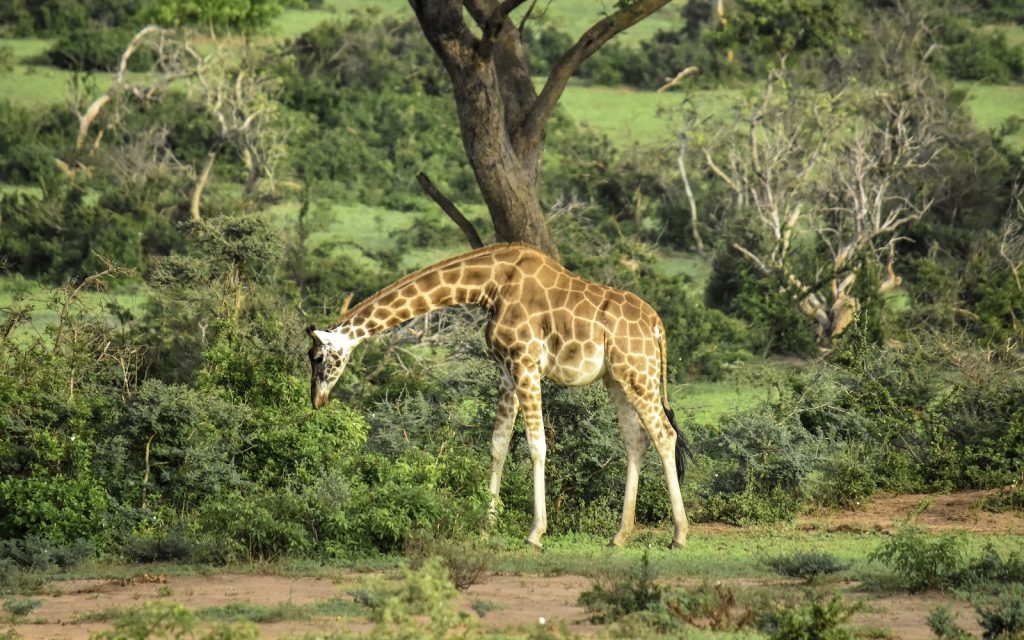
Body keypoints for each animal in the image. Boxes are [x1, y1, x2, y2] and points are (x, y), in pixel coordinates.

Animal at [307, 243, 692, 549]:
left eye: (317, 357)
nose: (316, 400)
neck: (489, 286)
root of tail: (657, 324)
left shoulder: (526, 363)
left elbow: (537, 445)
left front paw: (535, 533)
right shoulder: (506, 370)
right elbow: (498, 444)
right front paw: (487, 525)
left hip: (637, 373)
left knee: (664, 434)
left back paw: (679, 535)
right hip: (617, 379)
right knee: (636, 440)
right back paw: (619, 535)